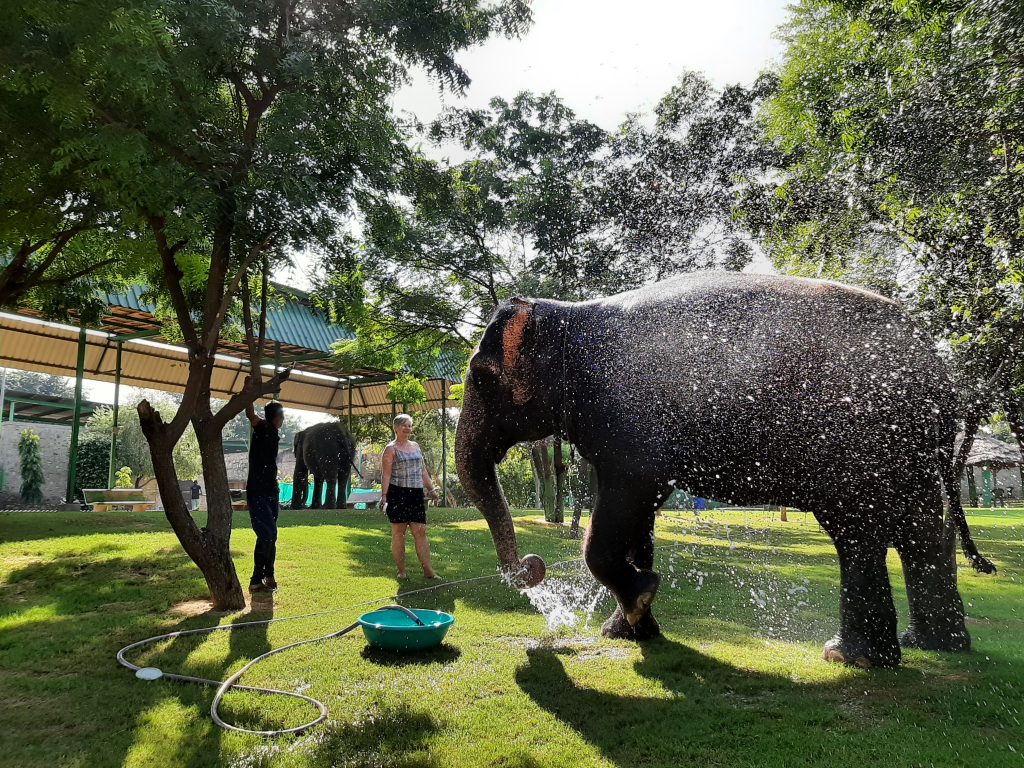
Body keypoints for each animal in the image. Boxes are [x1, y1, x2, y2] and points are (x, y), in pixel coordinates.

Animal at [454, 274, 991, 667]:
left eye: (480, 376)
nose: (532, 568)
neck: (572, 312)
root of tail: (945, 378)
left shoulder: (632, 429)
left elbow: (620, 513)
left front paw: (640, 599)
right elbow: (638, 522)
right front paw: (631, 629)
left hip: (860, 438)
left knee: (859, 531)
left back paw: (851, 656)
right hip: (903, 448)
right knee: (919, 528)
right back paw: (930, 645)